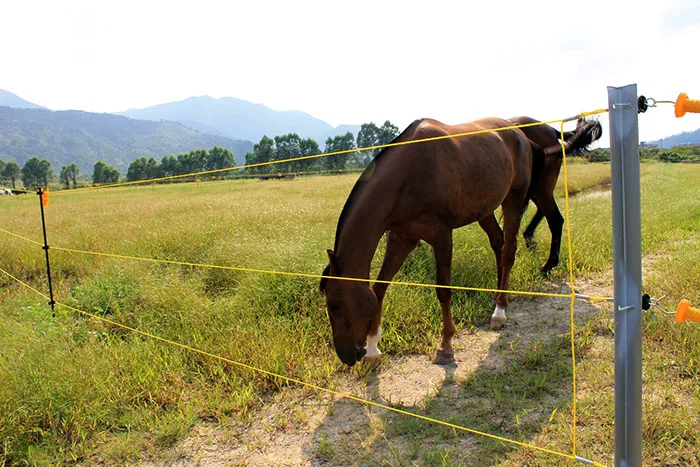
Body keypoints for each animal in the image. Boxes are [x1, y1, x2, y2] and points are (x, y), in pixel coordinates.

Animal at [508, 118, 600, 274]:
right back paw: (529, 242)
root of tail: (550, 129)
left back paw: (547, 265)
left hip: (541, 189)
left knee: (555, 220)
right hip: (536, 190)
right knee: (541, 212)